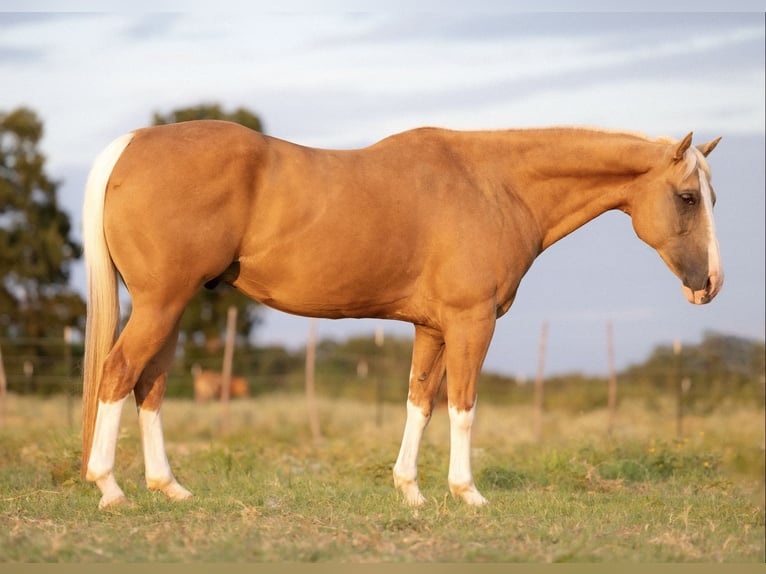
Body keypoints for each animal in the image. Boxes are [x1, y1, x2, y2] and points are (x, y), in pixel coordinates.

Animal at [80, 121, 722, 509]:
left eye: (712, 198)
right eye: (688, 197)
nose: (711, 284)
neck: (493, 186)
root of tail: (130, 145)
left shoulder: (431, 328)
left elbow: (420, 403)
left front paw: (410, 491)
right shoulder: (471, 323)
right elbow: (462, 406)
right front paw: (467, 493)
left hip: (170, 308)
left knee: (150, 385)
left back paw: (169, 488)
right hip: (162, 304)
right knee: (118, 373)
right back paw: (109, 488)